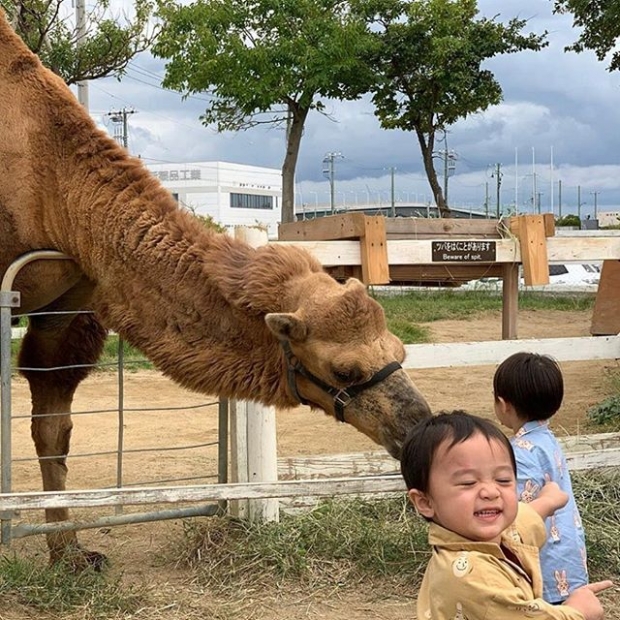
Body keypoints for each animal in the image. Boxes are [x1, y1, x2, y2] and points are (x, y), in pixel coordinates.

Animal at [0, 9, 432, 568]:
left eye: (400, 349)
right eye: (344, 369)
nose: (419, 422)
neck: (51, 185)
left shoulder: (67, 305)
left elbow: (54, 428)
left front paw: (69, 553)